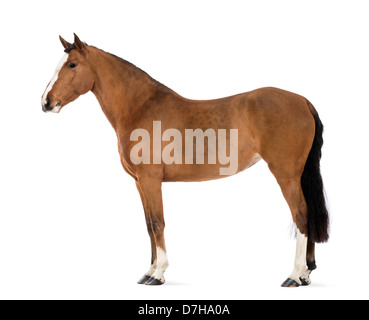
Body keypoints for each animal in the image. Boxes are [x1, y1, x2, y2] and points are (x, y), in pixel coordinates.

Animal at [40, 34, 328, 288]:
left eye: (72, 64)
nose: (46, 102)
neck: (140, 107)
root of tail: (302, 101)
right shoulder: (140, 183)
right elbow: (149, 225)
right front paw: (148, 272)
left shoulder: (151, 180)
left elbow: (158, 222)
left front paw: (158, 274)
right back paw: (306, 275)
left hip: (286, 175)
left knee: (301, 215)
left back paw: (294, 276)